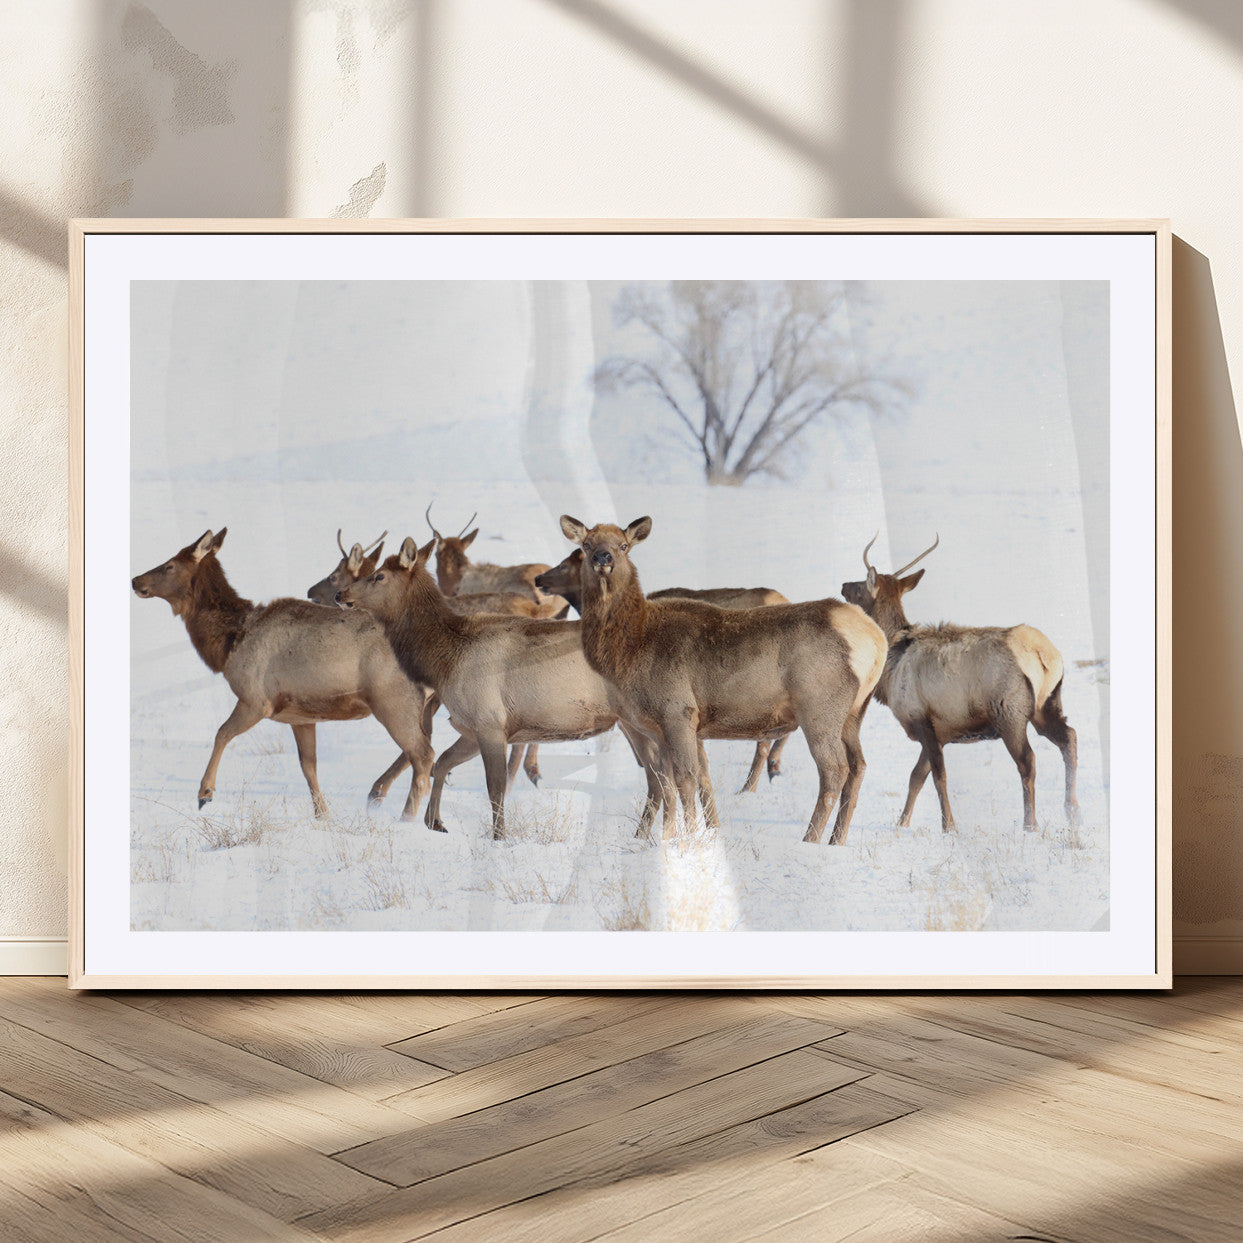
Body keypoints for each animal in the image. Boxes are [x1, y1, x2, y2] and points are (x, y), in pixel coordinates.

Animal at [132, 528, 434, 822]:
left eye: (169, 565)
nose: (135, 580)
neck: (229, 644)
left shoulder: (256, 700)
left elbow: (221, 734)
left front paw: (205, 793)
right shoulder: (300, 716)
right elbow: (308, 765)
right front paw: (322, 815)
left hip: (393, 700)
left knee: (423, 754)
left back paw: (406, 817)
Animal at [335, 537, 674, 841]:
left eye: (378, 575)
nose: (340, 593)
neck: (444, 660)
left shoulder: (489, 722)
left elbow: (494, 788)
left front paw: (499, 837)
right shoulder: (472, 727)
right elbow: (442, 763)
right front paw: (436, 822)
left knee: (662, 775)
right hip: (636, 724)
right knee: (658, 776)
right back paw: (643, 836)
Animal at [840, 534, 1080, 833]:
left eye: (861, 586)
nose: (843, 586)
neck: (892, 663)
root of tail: (1043, 654)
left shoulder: (921, 717)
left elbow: (938, 777)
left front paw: (949, 826)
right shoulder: (940, 731)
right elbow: (916, 777)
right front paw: (902, 822)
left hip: (1009, 711)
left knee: (1028, 760)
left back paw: (1030, 824)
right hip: (1047, 704)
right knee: (1069, 737)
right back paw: (1073, 812)